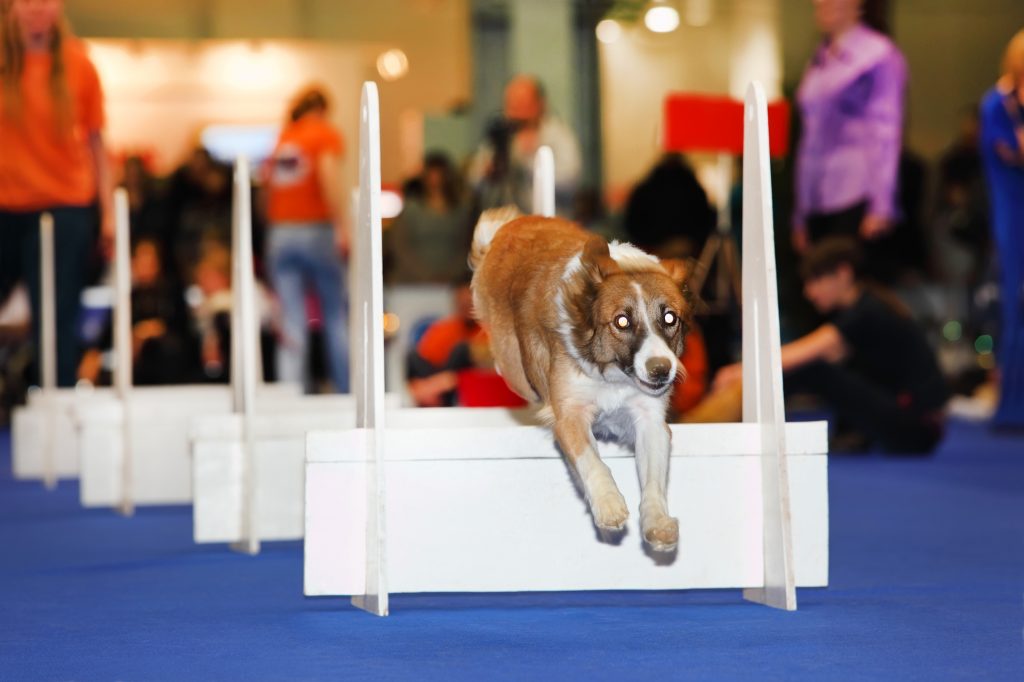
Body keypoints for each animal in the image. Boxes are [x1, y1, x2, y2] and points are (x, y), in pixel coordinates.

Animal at [468, 208, 692, 552]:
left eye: (670, 318)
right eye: (622, 322)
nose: (661, 370)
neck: (613, 374)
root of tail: (509, 225)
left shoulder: (650, 420)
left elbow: (654, 480)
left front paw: (657, 522)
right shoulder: (570, 415)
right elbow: (592, 461)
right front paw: (608, 503)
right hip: (514, 368)